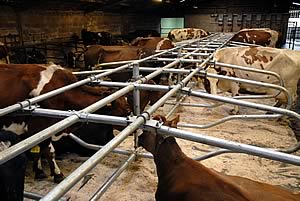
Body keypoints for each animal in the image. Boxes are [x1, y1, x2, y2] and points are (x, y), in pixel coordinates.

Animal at [0, 63, 131, 183]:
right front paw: (57, 174)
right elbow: (48, 151)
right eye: (126, 110)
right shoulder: (40, 127)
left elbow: (38, 151)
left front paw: (39, 171)